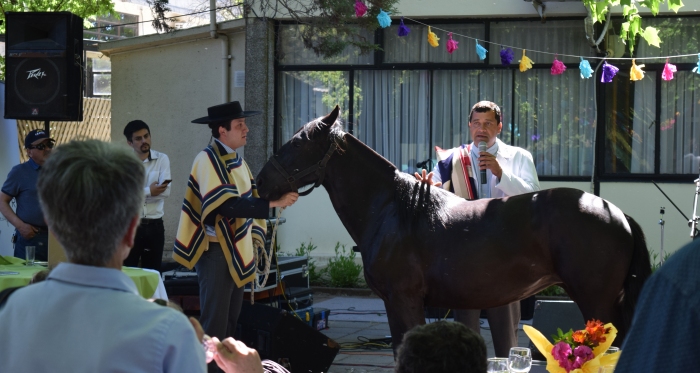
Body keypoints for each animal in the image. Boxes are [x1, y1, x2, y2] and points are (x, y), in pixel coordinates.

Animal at [256, 105, 652, 354]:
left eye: (298, 144)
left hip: (597, 301)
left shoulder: (404, 300)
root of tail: (617, 213)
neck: (394, 210)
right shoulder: (396, 304)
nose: (261, 183)